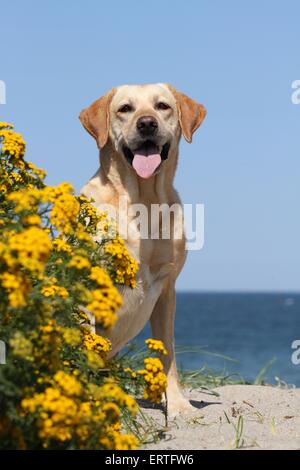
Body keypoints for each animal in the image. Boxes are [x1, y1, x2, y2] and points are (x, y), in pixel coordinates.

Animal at [79, 84, 206, 414]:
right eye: (125, 108)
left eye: (162, 106)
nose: (146, 123)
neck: (144, 202)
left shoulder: (166, 290)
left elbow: (168, 354)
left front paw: (177, 404)